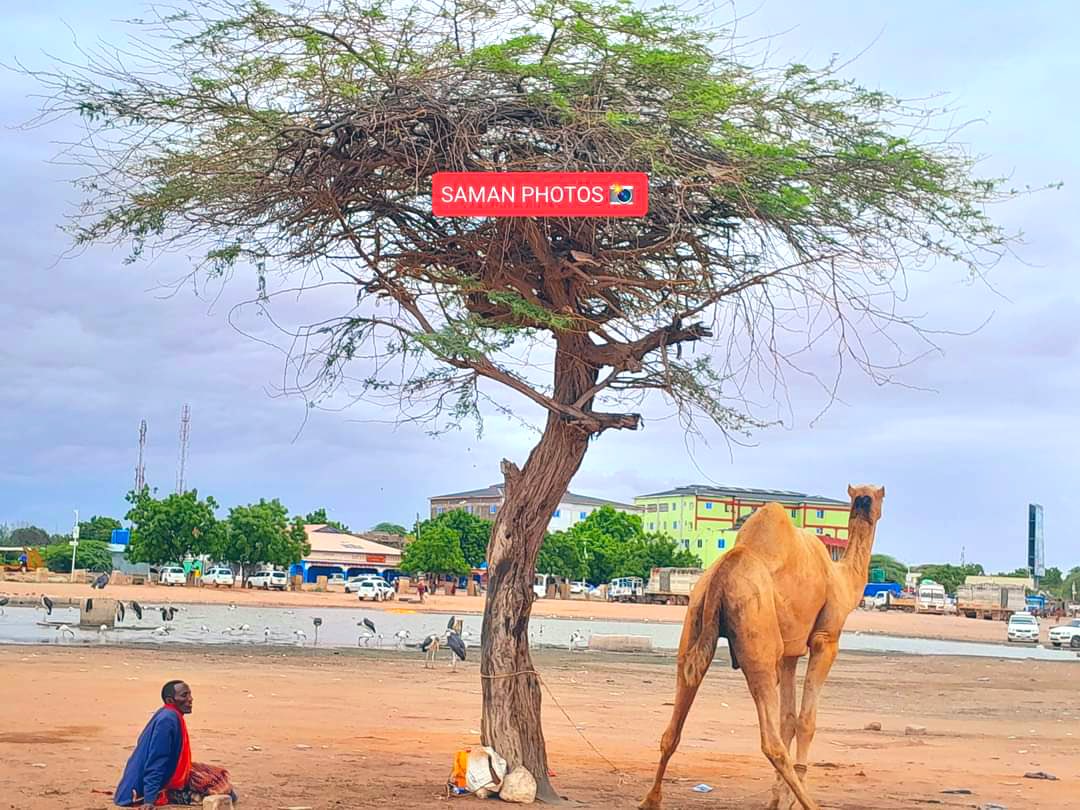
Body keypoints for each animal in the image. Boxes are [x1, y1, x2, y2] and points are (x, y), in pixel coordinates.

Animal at [635, 486, 881, 807]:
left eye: (871, 496)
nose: (866, 502)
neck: (843, 580)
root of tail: (722, 574)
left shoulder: (790, 652)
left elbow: (789, 718)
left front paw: (778, 798)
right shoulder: (826, 638)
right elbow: (806, 721)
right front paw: (787, 799)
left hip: (694, 619)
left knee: (673, 727)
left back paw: (650, 800)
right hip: (757, 634)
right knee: (770, 742)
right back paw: (811, 804)